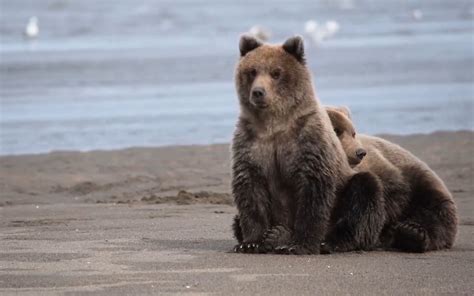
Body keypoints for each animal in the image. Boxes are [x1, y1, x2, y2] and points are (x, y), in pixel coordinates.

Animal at [230, 35, 382, 254]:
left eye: (276, 72)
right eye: (252, 71)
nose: (258, 92)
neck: (274, 125)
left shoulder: (308, 141)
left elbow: (313, 192)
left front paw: (300, 244)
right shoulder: (251, 143)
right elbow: (250, 189)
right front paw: (250, 242)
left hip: (346, 192)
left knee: (364, 191)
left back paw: (332, 241)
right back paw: (277, 234)